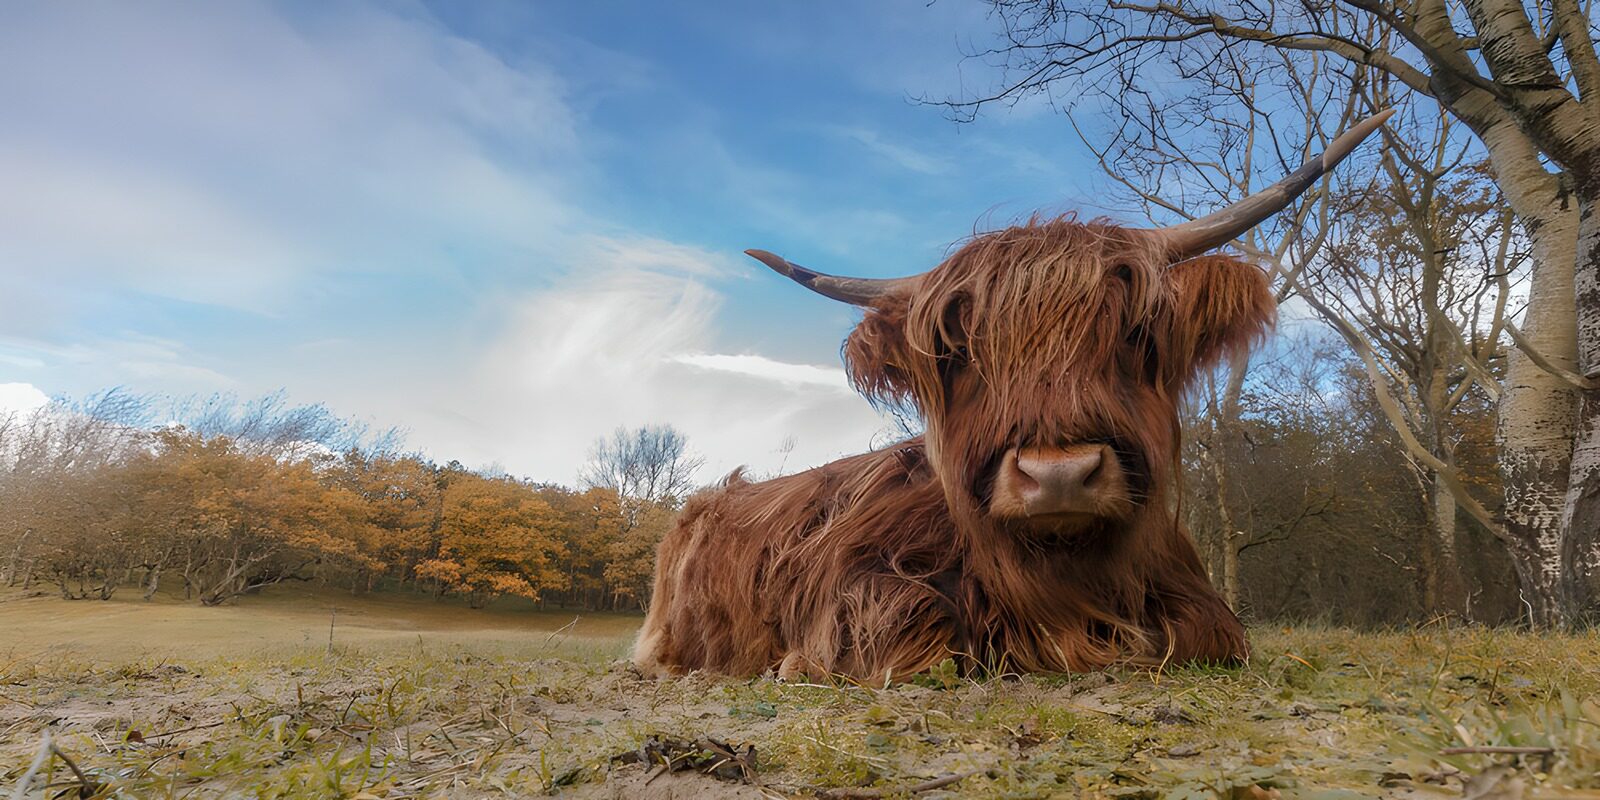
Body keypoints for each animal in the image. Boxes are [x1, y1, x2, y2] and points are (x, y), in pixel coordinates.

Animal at [633, 111, 1393, 683]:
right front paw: (796, 664)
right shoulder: (846, 576)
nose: (1058, 475)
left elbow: (1208, 631)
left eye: (1134, 332)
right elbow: (911, 615)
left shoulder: (1191, 594)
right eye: (960, 353)